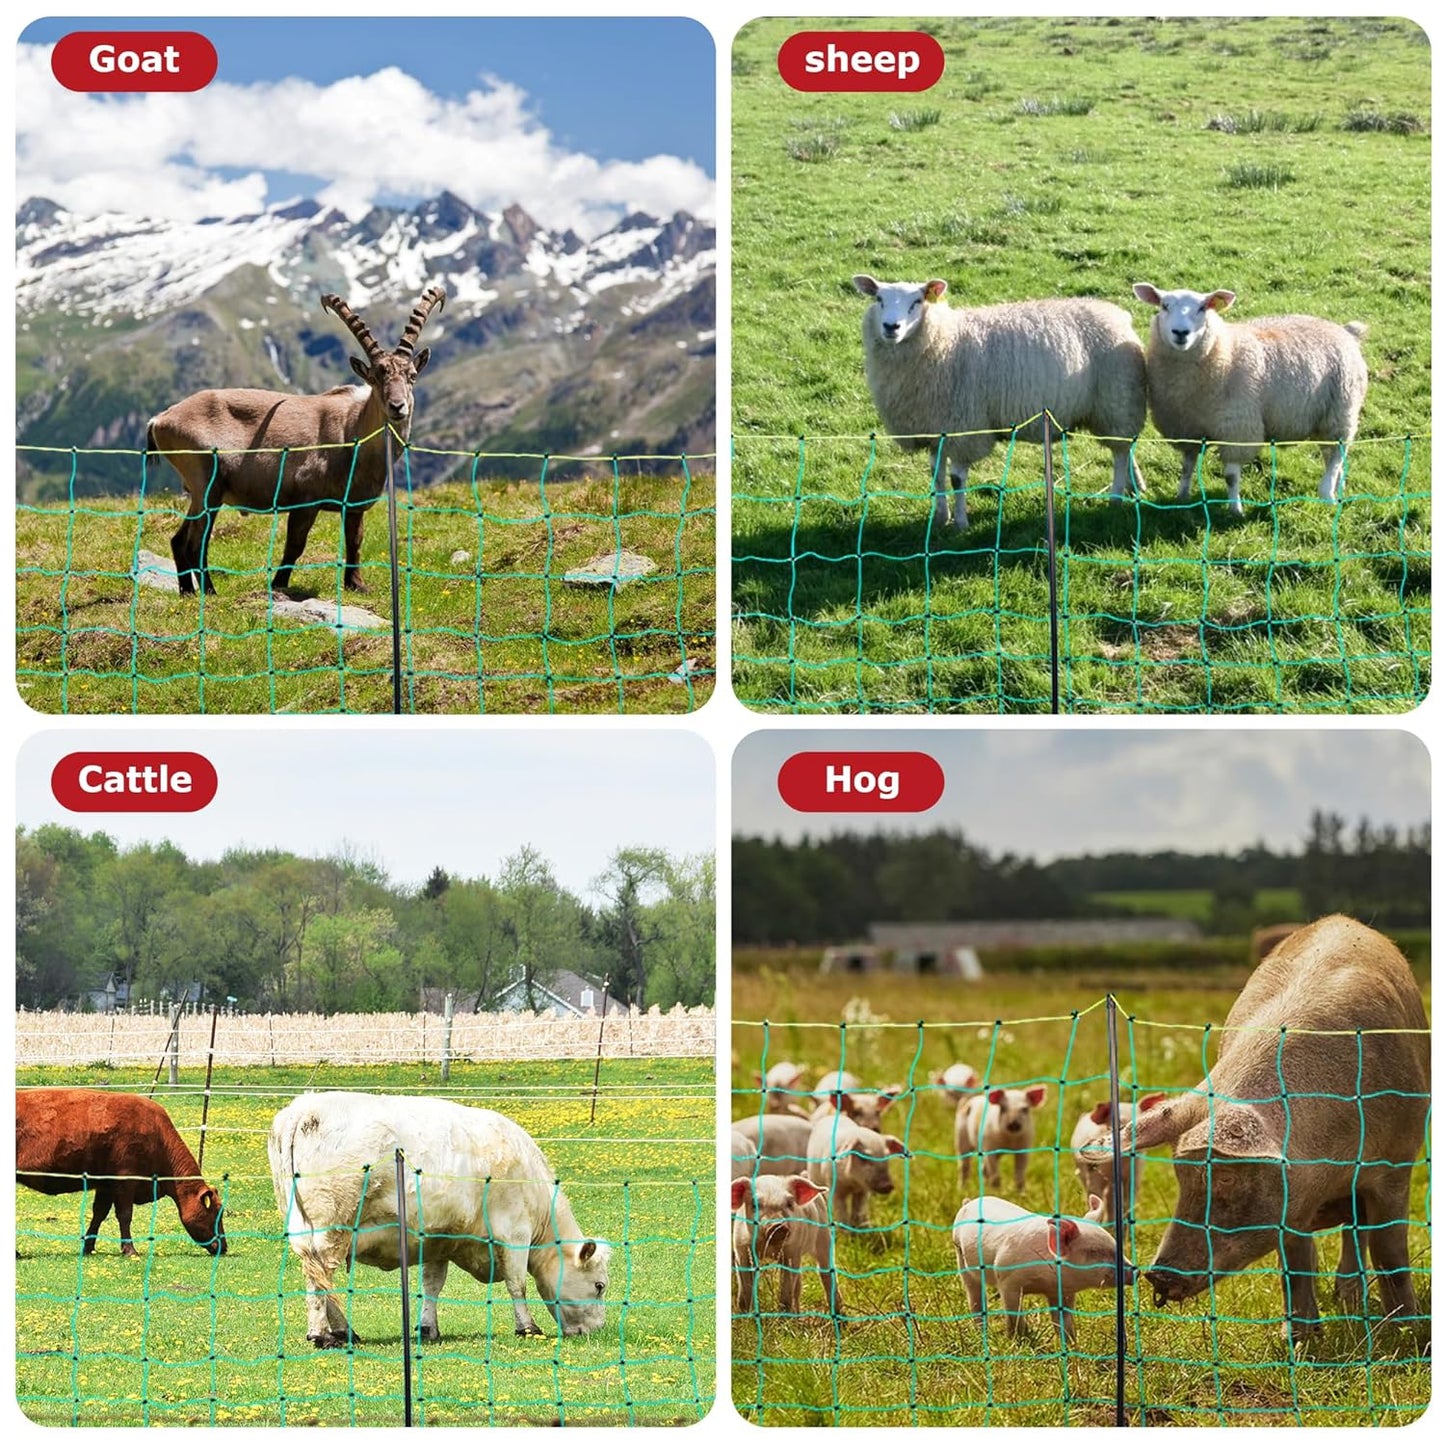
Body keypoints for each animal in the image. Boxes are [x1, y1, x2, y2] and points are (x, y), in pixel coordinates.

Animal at [146, 286, 445, 595]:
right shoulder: (305, 500)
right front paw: (278, 583)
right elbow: (295, 544)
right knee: (194, 542)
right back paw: (209, 592)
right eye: (374, 377)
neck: (353, 431)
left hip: (202, 493)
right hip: (207, 485)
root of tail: (161, 420)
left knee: (181, 540)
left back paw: (189, 591)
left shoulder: (353, 505)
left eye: (412, 376)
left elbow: (354, 540)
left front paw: (356, 584)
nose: (398, 406)